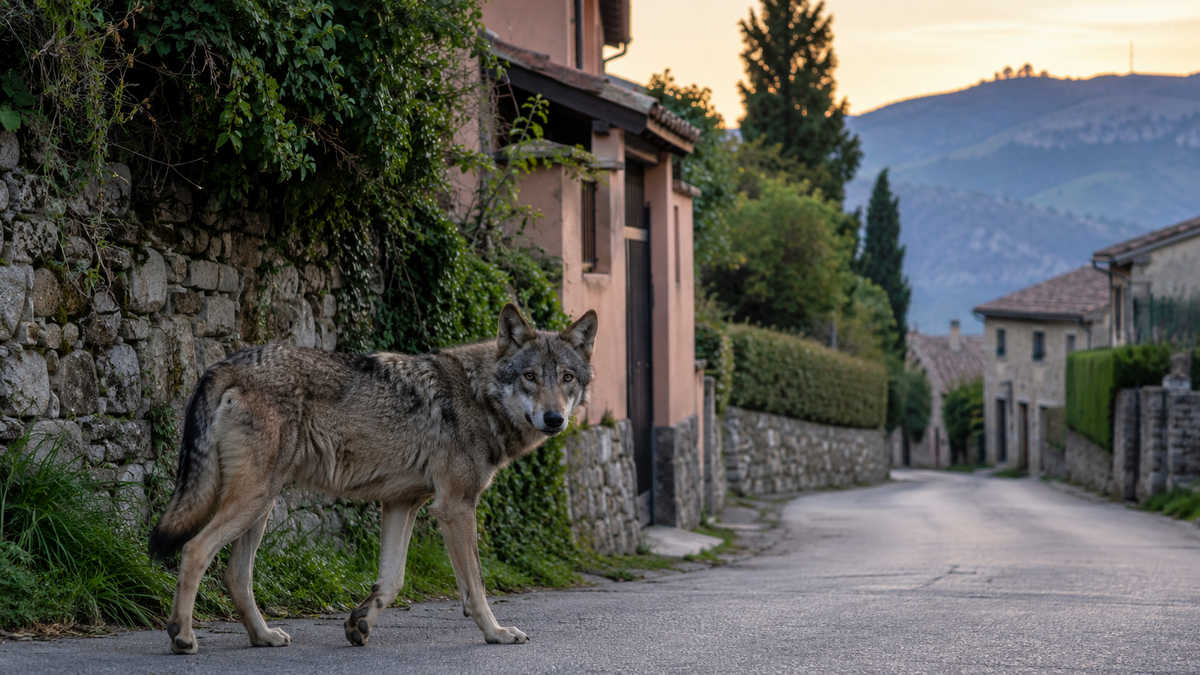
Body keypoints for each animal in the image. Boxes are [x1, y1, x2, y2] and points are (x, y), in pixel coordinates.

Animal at [148, 304, 597, 654]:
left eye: (567, 378)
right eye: (530, 377)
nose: (554, 418)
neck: (478, 395)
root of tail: (226, 363)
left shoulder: (401, 503)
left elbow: (393, 580)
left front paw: (359, 623)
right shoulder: (455, 506)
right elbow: (476, 586)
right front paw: (497, 633)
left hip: (262, 505)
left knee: (236, 575)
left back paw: (263, 636)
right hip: (253, 500)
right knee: (194, 550)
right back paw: (183, 636)